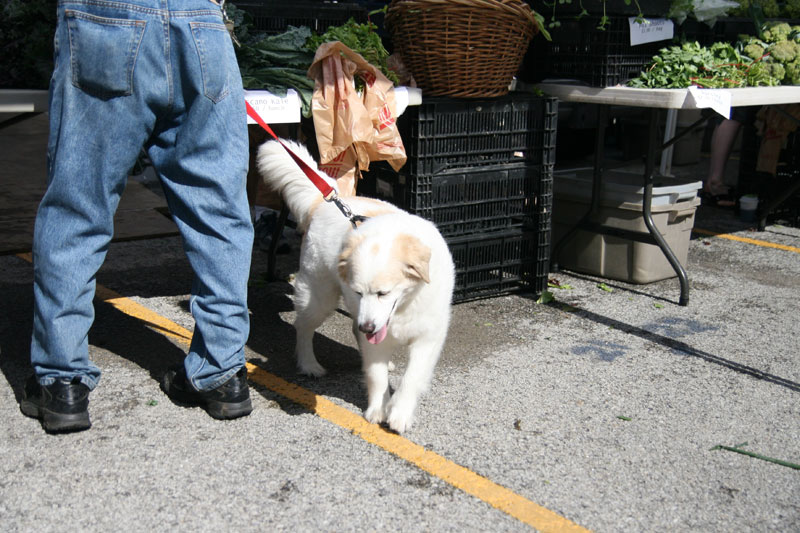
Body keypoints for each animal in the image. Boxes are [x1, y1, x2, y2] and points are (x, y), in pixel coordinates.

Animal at [260, 138, 454, 432]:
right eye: (358, 291)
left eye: (384, 293)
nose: (368, 327)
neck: (404, 307)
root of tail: (328, 201)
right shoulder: (373, 331)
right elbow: (376, 376)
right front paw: (377, 410)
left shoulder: (427, 337)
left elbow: (411, 378)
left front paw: (399, 414)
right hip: (319, 298)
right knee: (303, 328)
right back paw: (309, 364)